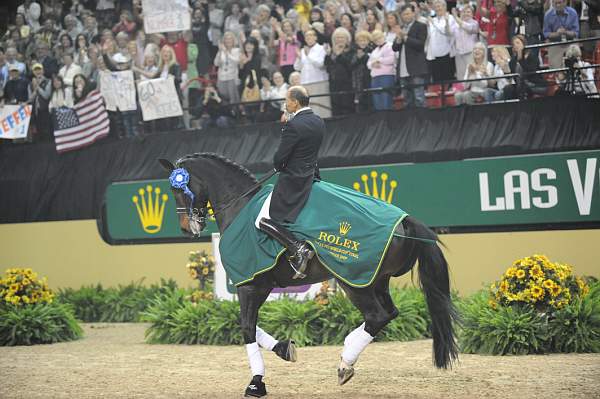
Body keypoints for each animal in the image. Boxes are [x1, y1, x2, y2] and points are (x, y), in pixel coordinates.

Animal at [159, 153, 460, 396]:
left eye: (178, 189)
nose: (187, 229)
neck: (239, 207)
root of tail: (406, 221)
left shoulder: (249, 284)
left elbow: (246, 327)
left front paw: (256, 383)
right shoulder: (260, 285)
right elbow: (249, 326)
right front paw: (284, 349)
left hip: (354, 281)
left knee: (377, 316)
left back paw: (345, 363)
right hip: (376, 280)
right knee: (389, 313)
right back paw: (347, 355)